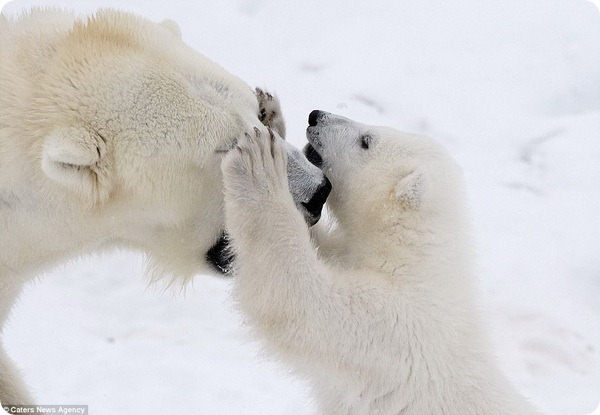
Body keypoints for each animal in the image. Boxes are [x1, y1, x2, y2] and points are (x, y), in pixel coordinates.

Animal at [221, 110, 540, 415]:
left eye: (366, 140)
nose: (316, 115)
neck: (412, 256)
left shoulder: (393, 327)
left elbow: (300, 300)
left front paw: (259, 164)